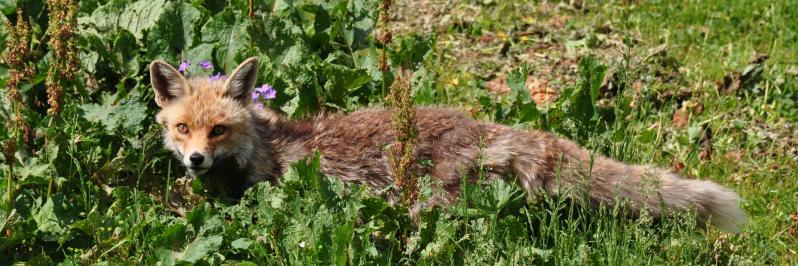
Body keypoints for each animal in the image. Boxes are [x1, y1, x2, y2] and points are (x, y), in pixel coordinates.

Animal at [148, 57, 752, 232]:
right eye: (183, 129)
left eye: (218, 130)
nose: (195, 159)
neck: (265, 147)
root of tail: (481, 126)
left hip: (426, 205)